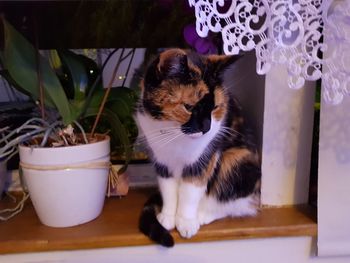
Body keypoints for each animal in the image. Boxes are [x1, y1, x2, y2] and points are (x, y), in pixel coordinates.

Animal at [135, 48, 262, 249]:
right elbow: (168, 189)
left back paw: (203, 215)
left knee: (234, 203)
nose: (206, 128)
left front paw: (186, 222)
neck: (175, 137)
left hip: (236, 161)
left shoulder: (204, 160)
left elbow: (190, 191)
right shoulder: (162, 161)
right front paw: (167, 216)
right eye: (188, 107)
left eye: (215, 107)